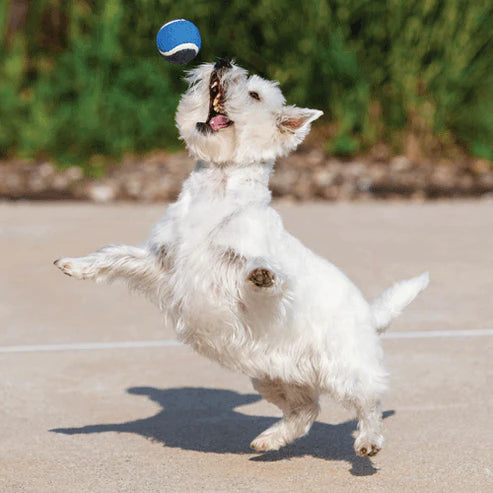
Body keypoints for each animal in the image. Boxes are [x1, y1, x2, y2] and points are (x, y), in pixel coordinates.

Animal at [55, 59, 428, 456]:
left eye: (254, 94)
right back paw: (268, 440)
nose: (222, 63)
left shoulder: (239, 275)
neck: (217, 191)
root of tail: (371, 316)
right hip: (269, 376)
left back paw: (367, 442)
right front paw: (74, 265)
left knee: (368, 402)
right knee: (306, 408)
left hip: (344, 367)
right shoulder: (162, 261)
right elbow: (115, 255)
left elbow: (260, 276)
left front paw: (262, 275)